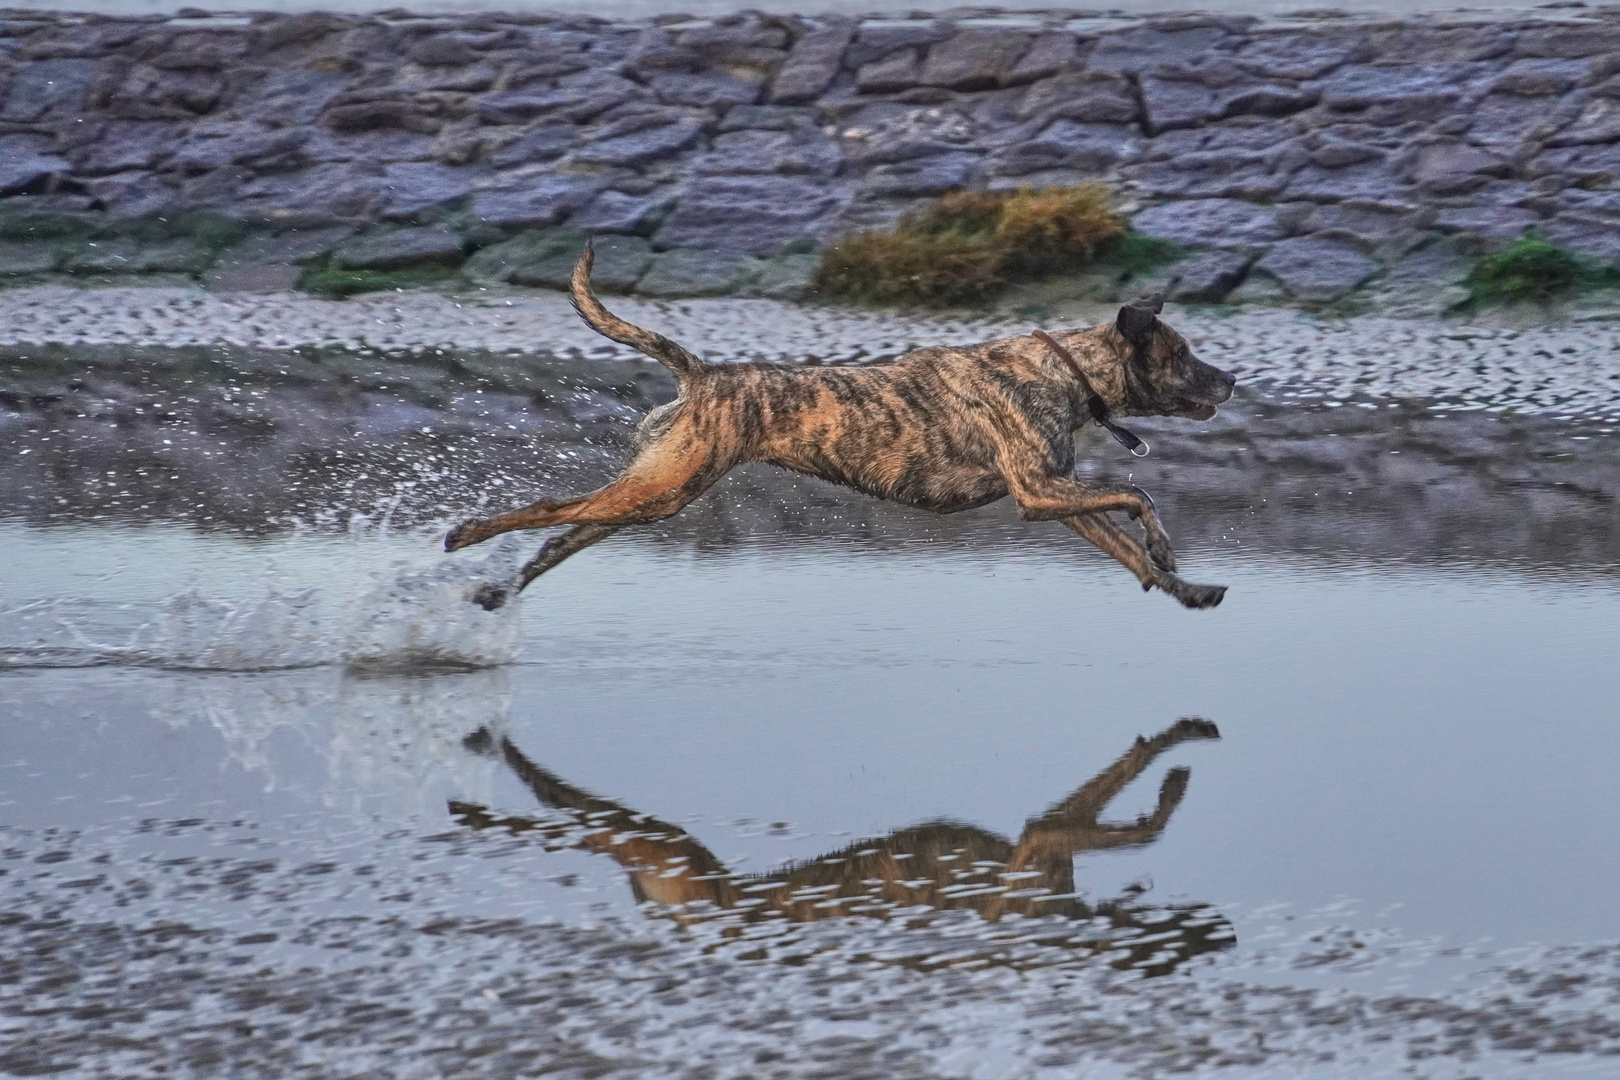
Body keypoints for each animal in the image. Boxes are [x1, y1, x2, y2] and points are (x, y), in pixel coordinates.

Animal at [450, 247, 1231, 612]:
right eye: (1183, 355)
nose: (1230, 382)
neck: (1065, 371)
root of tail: (703, 376)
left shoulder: (1060, 500)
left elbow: (1125, 549)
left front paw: (1182, 585)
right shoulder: (1041, 494)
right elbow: (1139, 498)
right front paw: (1166, 548)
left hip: (652, 493)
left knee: (563, 535)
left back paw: (496, 588)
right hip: (664, 488)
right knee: (550, 509)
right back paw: (468, 534)